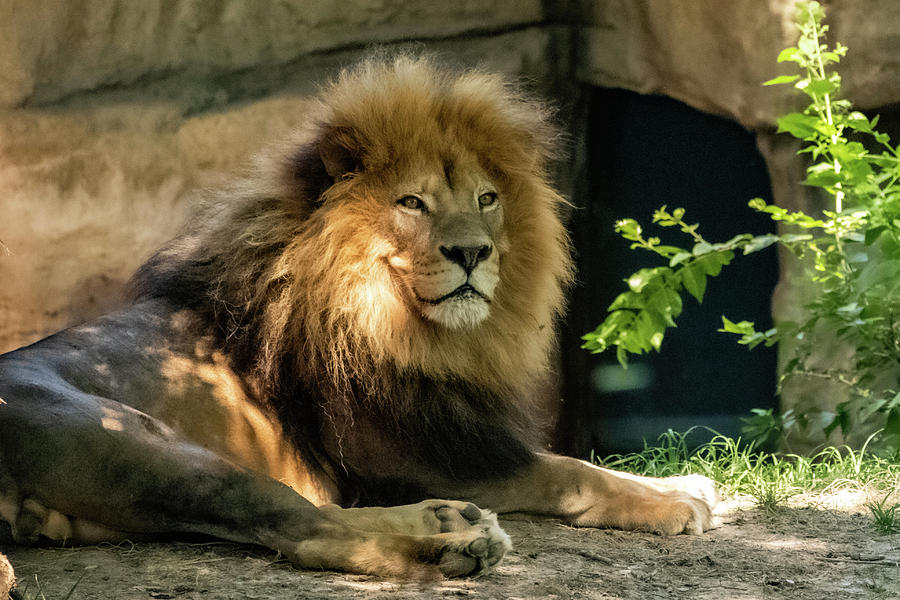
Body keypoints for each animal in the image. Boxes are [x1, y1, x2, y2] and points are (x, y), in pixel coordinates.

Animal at [0, 55, 716, 576]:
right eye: (413, 203)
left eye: (487, 199)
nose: (472, 252)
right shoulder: (413, 456)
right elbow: (566, 470)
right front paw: (672, 501)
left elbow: (580, 460)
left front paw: (687, 479)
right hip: (146, 443)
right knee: (307, 529)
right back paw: (451, 540)